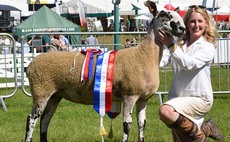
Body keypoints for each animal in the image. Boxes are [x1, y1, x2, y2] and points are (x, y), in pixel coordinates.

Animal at [24, 10, 185, 142]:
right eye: (165, 16)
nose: (183, 29)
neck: (144, 55)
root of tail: (31, 65)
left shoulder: (143, 99)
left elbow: (142, 124)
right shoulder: (130, 95)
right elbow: (127, 125)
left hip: (55, 95)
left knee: (45, 119)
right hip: (41, 91)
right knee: (31, 119)